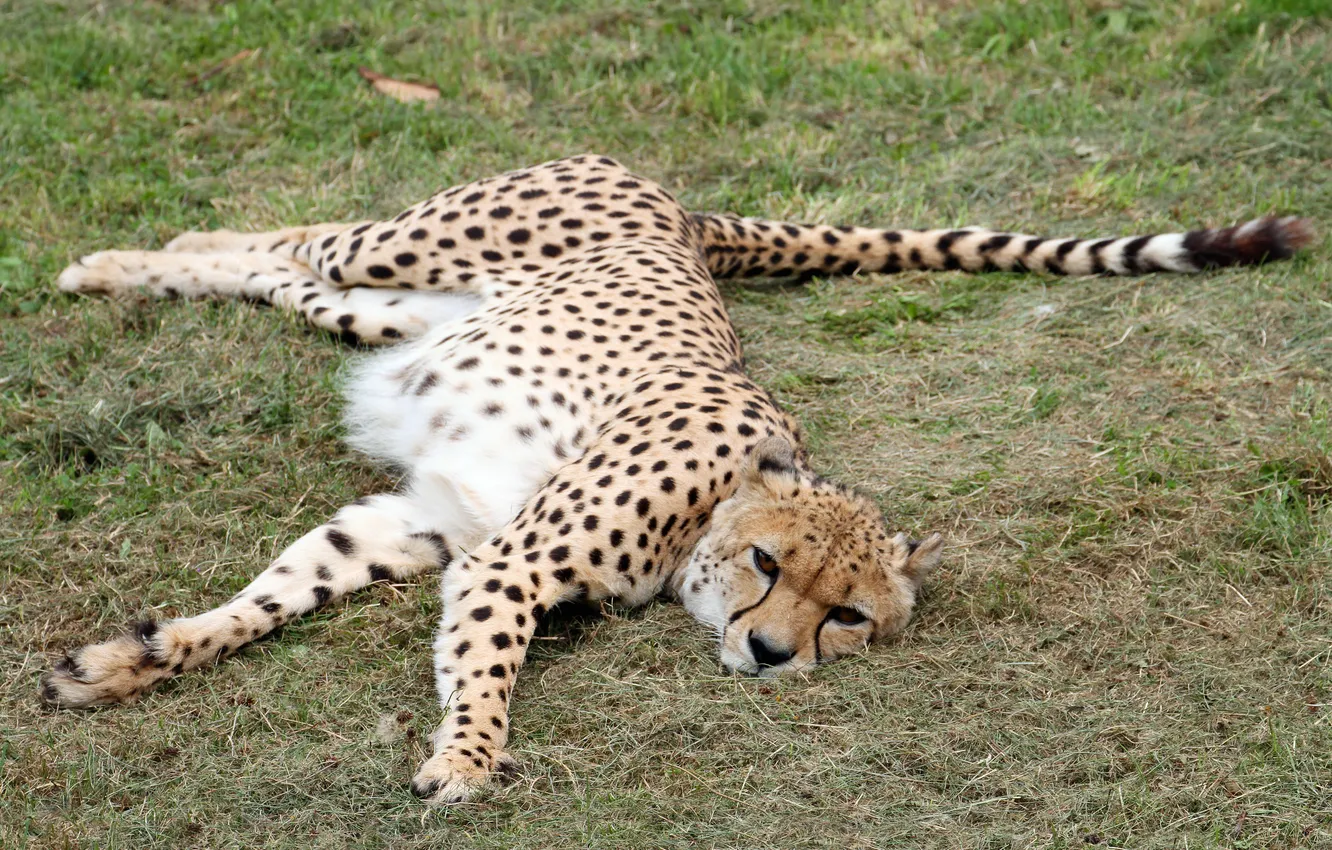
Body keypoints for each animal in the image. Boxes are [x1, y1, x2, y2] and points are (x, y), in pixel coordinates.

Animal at [41, 154, 1313, 804]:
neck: (704, 514)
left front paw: (130, 659)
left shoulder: (435, 521)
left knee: (285, 276)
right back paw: (114, 258)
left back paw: (134, 266)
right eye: (766, 563)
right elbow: (487, 672)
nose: (771, 654)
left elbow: (282, 591)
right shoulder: (509, 560)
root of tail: (682, 212)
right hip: (415, 244)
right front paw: (469, 758)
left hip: (387, 310)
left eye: (848, 616)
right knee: (300, 239)